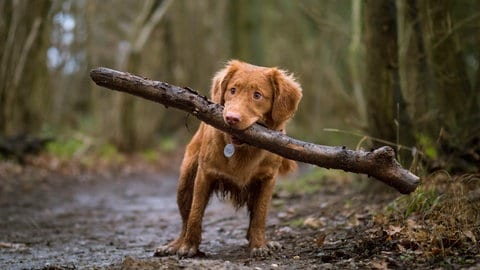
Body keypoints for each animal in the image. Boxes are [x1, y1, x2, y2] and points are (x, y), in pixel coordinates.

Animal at [154, 60, 302, 258]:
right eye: (232, 90)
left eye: (257, 95)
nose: (231, 118)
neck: (242, 149)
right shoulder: (204, 174)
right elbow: (195, 213)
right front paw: (189, 246)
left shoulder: (267, 179)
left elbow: (260, 215)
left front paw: (259, 245)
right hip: (185, 181)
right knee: (185, 218)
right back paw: (175, 244)